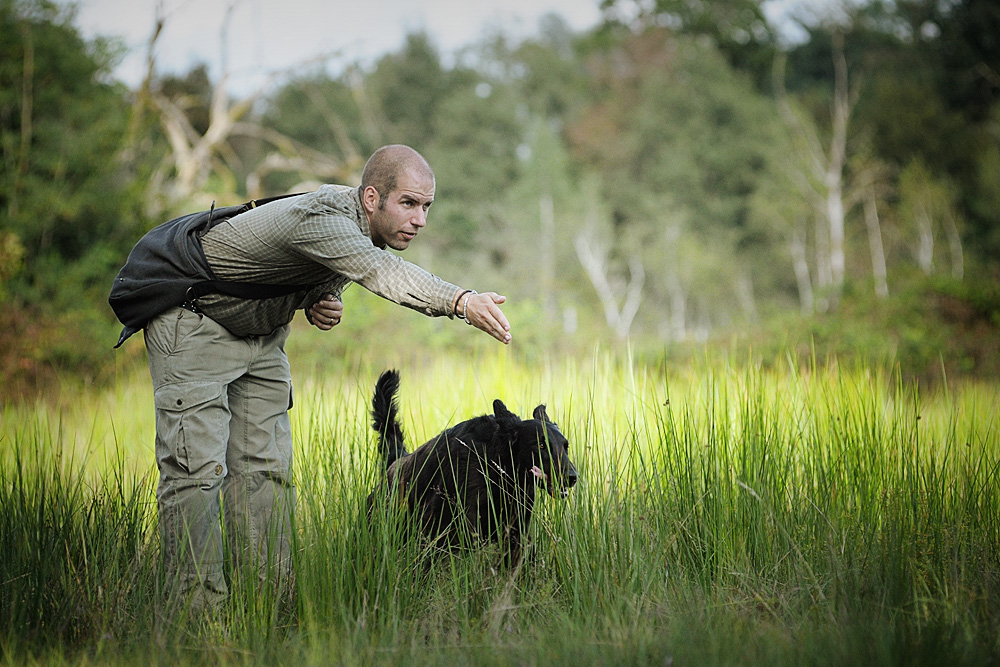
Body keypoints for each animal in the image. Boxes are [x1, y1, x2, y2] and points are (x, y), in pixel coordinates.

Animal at [370, 368, 580, 568]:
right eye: (541, 445)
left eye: (565, 446)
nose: (572, 476)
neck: (495, 466)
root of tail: (396, 461)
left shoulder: (516, 533)